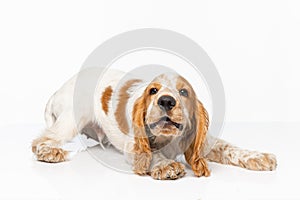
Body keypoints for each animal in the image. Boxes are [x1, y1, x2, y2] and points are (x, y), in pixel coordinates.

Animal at [31, 69, 278, 180]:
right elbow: (153, 156)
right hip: (71, 120)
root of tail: (57, 91)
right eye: (153, 91)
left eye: (183, 92)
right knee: (41, 140)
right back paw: (50, 152)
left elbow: (230, 147)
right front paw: (166, 165)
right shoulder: (133, 147)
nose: (166, 101)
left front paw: (259, 157)